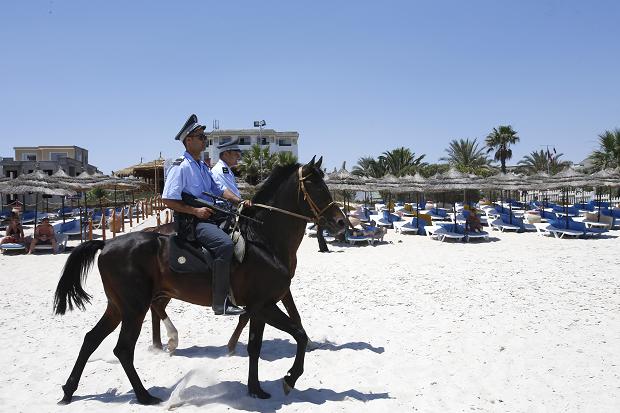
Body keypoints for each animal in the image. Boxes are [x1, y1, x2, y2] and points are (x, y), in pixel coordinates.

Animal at [52, 158, 344, 402]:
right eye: (317, 187)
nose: (341, 222)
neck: (262, 240)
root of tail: (106, 244)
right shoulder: (264, 306)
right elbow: (299, 334)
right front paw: (290, 378)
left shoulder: (259, 308)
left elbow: (255, 347)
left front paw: (256, 389)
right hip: (134, 308)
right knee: (123, 349)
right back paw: (145, 394)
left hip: (118, 307)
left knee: (91, 339)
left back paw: (69, 390)